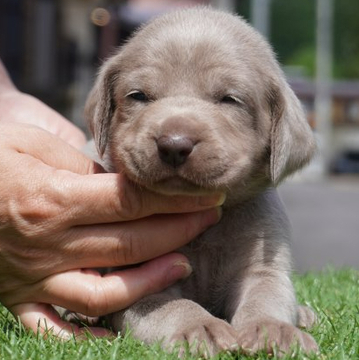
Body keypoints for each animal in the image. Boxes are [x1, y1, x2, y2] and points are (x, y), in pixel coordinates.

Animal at [83, 5, 318, 358]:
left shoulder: (263, 265)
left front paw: (273, 330)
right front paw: (198, 328)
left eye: (230, 99)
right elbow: (173, 306)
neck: (205, 235)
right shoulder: (137, 281)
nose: (174, 144)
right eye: (138, 96)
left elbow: (266, 295)